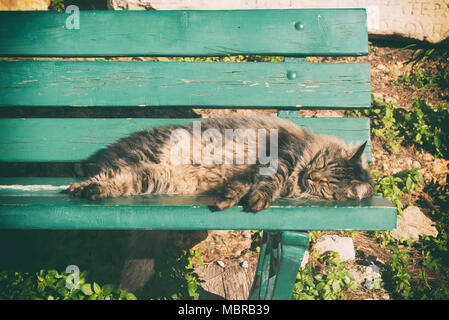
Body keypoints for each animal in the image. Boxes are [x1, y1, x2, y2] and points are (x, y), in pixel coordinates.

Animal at [67, 115, 374, 210]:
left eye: (326, 184)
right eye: (322, 164)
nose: (311, 176)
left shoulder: (250, 173)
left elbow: (240, 186)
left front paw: (228, 200)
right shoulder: (279, 158)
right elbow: (266, 183)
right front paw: (257, 200)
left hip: (154, 178)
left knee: (118, 179)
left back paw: (89, 190)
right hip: (151, 153)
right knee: (107, 167)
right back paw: (78, 183)